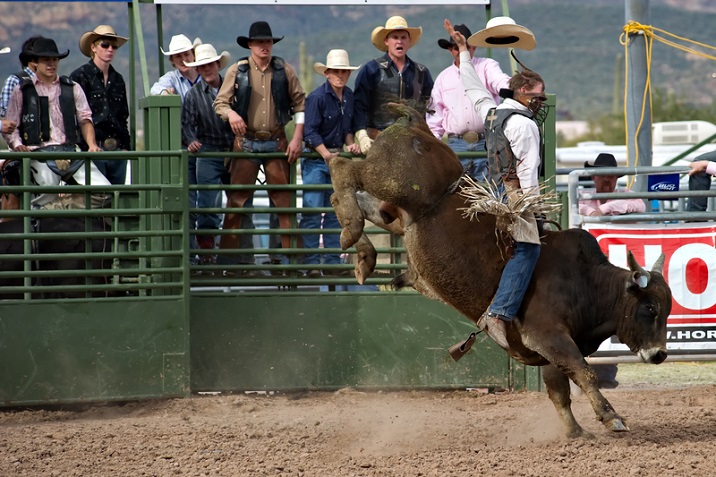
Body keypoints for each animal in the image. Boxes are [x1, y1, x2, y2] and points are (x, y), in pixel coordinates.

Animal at [328, 102, 672, 436]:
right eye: (650, 308)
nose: (660, 355)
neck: (586, 282)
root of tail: (416, 124)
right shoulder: (548, 334)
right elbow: (584, 372)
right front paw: (611, 418)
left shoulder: (549, 349)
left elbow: (559, 390)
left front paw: (575, 432)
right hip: (392, 181)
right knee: (344, 169)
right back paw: (351, 230)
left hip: (398, 215)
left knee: (352, 201)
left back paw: (362, 253)